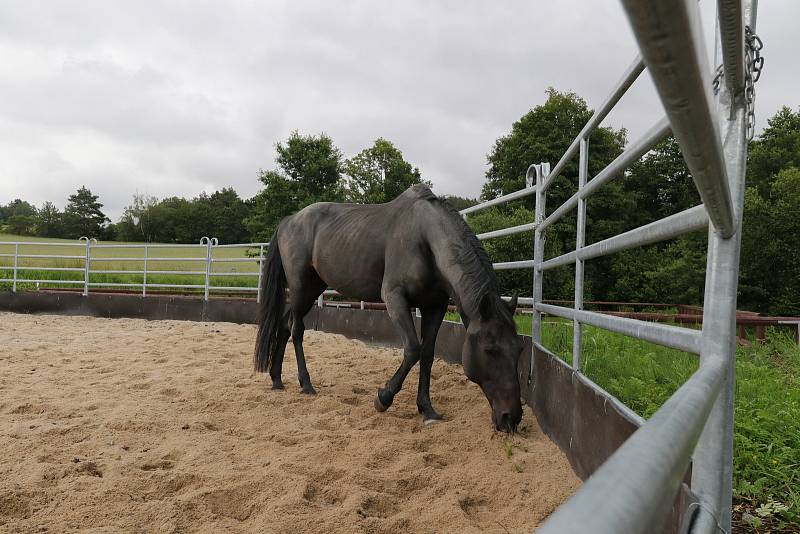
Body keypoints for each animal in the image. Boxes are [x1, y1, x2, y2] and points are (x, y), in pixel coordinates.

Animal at [253, 186, 520, 434]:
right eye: (490, 350)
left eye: (518, 348)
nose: (511, 418)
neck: (425, 237)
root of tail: (289, 220)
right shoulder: (394, 298)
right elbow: (412, 349)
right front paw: (383, 398)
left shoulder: (435, 306)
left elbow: (427, 354)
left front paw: (427, 408)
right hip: (300, 287)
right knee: (297, 329)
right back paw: (306, 384)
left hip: (313, 289)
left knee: (285, 325)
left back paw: (276, 378)